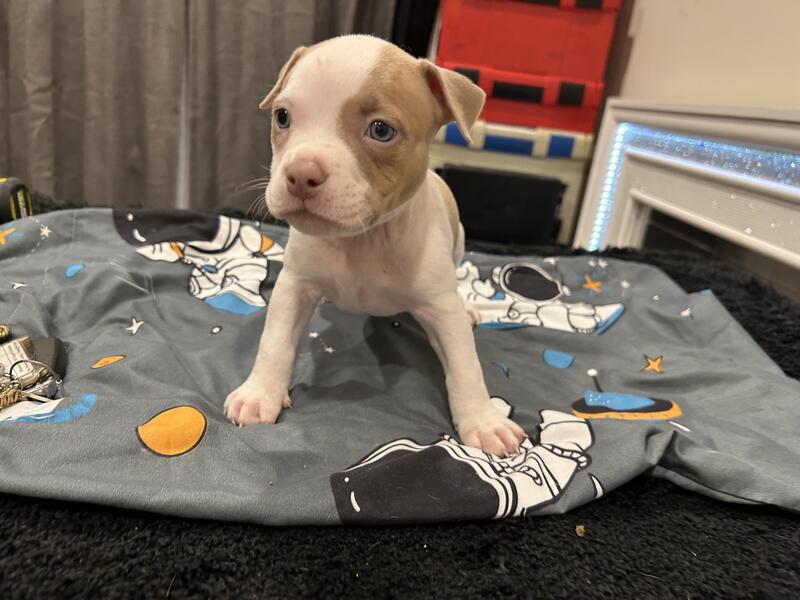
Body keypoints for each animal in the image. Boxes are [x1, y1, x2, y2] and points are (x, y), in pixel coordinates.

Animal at [224, 35, 526, 457]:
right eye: (282, 117)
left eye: (381, 130)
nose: (300, 174)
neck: (362, 239)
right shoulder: (294, 288)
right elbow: (274, 342)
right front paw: (259, 394)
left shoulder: (440, 309)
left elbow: (466, 367)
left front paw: (484, 422)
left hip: (460, 245)